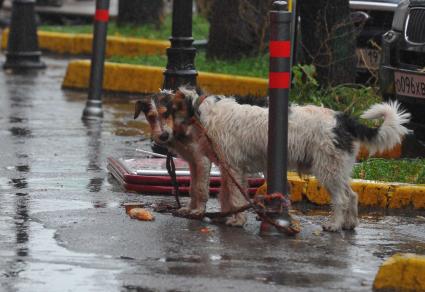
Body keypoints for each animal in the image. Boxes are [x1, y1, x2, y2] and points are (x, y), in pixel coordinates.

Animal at [134, 86, 410, 230]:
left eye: (166, 113)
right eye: (151, 116)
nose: (163, 137)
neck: (201, 113)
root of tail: (343, 120)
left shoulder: (232, 165)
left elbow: (231, 195)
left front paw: (235, 219)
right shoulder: (227, 167)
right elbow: (225, 194)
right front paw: (226, 215)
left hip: (327, 168)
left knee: (342, 198)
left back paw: (334, 225)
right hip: (337, 167)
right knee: (352, 195)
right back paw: (349, 224)